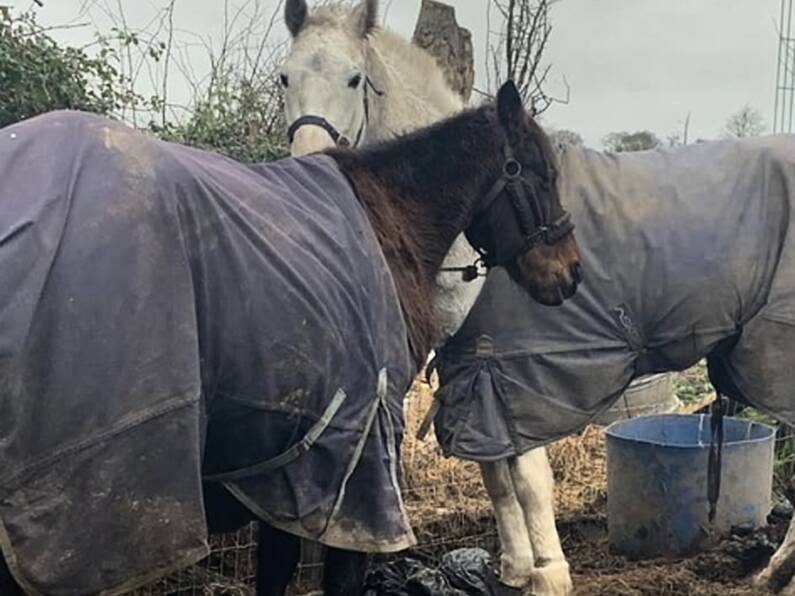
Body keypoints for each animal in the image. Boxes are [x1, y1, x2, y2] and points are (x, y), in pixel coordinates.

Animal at [282, 2, 568, 592]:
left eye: (356, 78)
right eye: (284, 78)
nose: (307, 169)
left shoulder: (500, 360)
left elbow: (526, 467)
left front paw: (550, 572)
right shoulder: (460, 363)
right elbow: (494, 469)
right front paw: (516, 565)